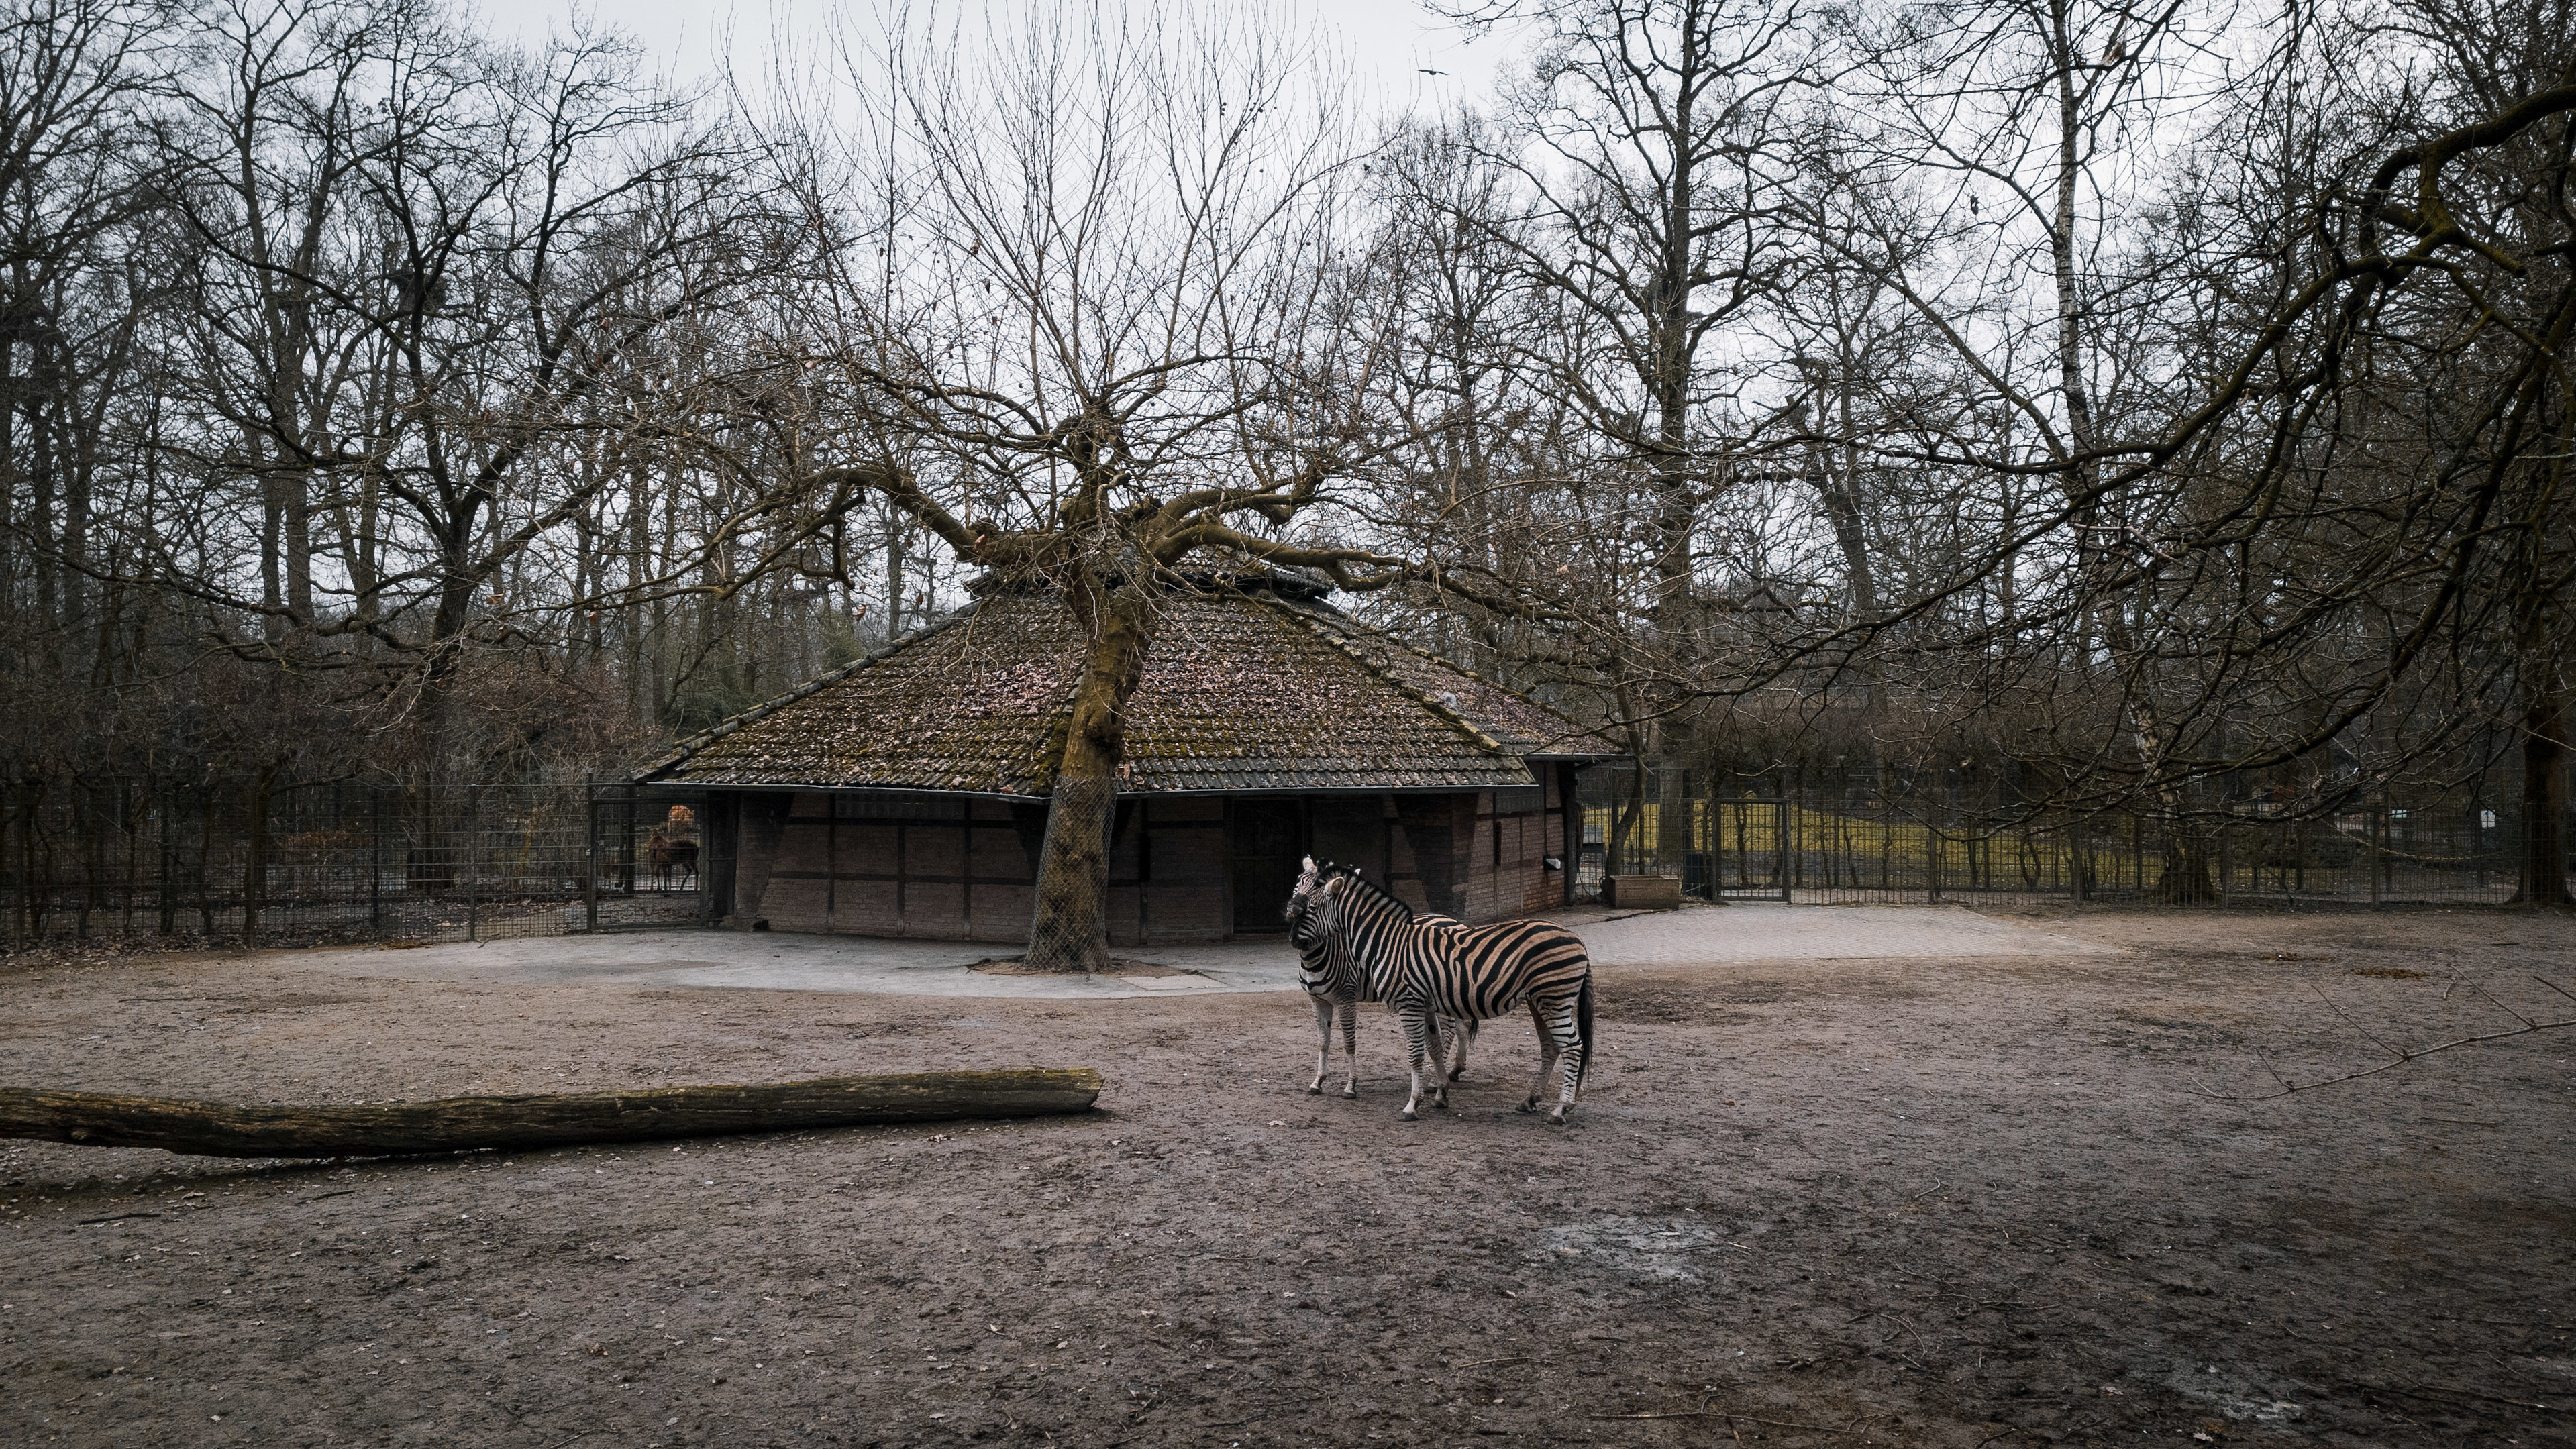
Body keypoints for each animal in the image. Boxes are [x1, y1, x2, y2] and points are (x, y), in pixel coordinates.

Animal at [1286, 856, 1593, 1123]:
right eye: (1297, 887)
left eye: (1311, 908)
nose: (1292, 937)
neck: (1387, 942)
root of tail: (1577, 938)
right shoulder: (1424, 1005)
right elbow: (1432, 1047)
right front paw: (1440, 1093)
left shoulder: (1406, 1003)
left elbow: (1414, 1053)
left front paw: (1412, 1104)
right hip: (1539, 1001)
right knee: (1551, 1047)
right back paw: (1529, 1100)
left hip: (1555, 999)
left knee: (1573, 1047)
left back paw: (1560, 1110)